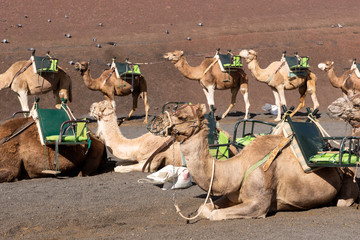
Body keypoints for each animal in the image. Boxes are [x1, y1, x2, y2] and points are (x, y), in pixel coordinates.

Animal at [146, 102, 358, 219]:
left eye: (181, 116)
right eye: (174, 110)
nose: (155, 122)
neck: (238, 167)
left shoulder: (258, 204)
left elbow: (214, 214)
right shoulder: (231, 196)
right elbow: (205, 207)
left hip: (349, 177)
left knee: (343, 200)